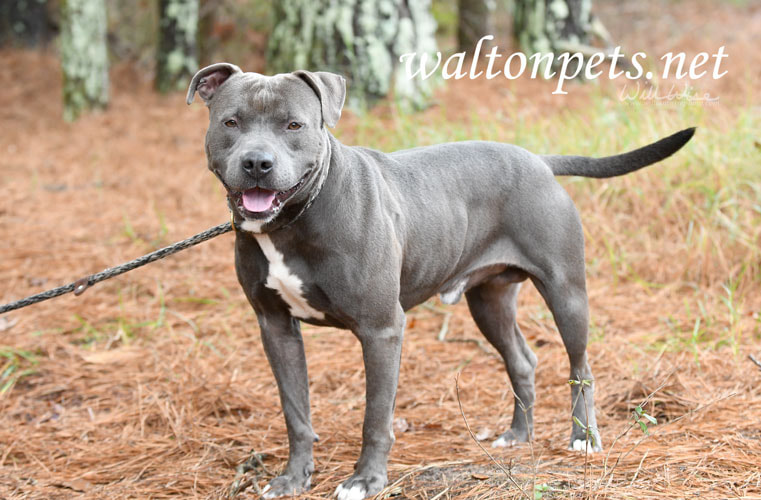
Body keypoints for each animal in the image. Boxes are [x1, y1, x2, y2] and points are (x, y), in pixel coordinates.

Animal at [186, 62, 696, 500]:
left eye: (293, 125)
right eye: (231, 122)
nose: (257, 163)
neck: (293, 220)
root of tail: (538, 161)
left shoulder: (381, 330)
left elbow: (376, 416)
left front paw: (366, 480)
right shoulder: (276, 328)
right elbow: (295, 411)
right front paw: (294, 478)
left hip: (567, 291)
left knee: (581, 367)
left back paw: (583, 438)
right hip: (489, 301)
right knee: (522, 360)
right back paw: (517, 435)